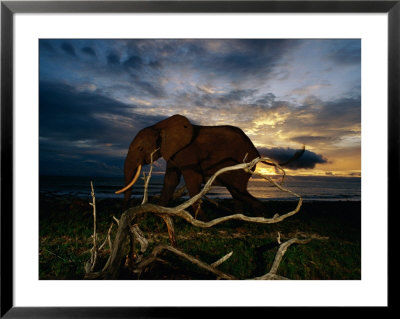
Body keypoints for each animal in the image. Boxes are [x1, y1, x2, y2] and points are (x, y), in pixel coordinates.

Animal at [115, 114, 304, 220]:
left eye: (140, 148)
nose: (123, 215)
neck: (160, 126)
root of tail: (257, 152)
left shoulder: (187, 151)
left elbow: (192, 180)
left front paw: (201, 221)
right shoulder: (173, 153)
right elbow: (170, 180)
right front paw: (159, 214)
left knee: (238, 190)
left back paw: (263, 217)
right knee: (236, 191)